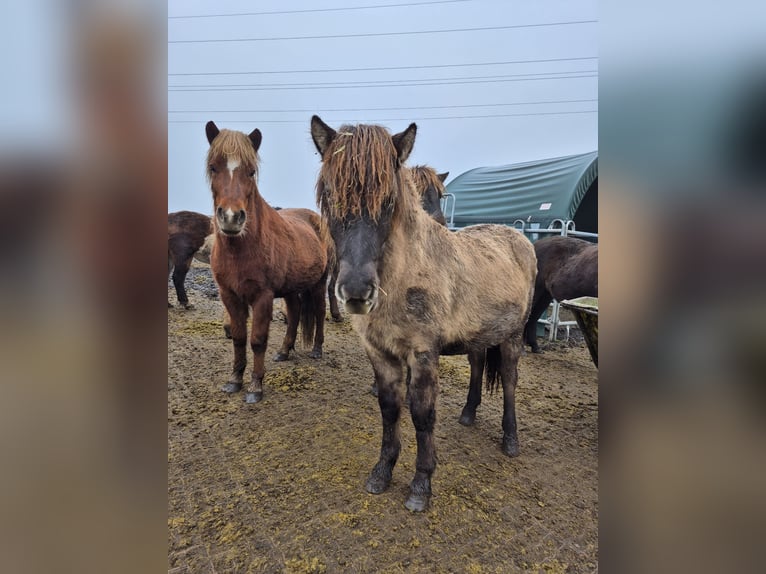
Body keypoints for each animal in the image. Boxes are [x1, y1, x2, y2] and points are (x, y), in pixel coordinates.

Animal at [205, 121, 329, 404]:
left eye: (251, 172)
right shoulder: (230, 295)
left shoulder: (262, 297)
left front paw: (255, 387)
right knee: (295, 313)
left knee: (318, 312)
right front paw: (234, 380)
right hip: (292, 289)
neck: (241, 249)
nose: (231, 218)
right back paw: (284, 350)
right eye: (213, 167)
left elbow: (257, 340)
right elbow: (239, 338)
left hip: (319, 284)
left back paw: (317, 349)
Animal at [311, 116, 537, 512]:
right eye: (330, 195)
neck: (404, 277)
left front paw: (421, 485)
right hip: (479, 336)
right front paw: (382, 472)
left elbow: (421, 415)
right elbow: (389, 409)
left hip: (512, 336)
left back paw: (510, 440)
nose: (356, 291)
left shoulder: (423, 354)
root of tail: (520, 239)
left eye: (389, 201)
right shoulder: (380, 353)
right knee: (478, 365)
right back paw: (468, 414)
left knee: (509, 380)